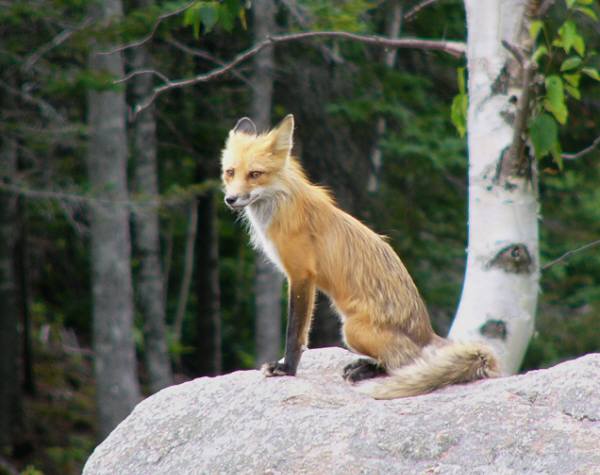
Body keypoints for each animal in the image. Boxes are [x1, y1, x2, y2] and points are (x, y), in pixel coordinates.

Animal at [219, 114, 496, 398]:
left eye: (255, 174)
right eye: (230, 172)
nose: (231, 199)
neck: (280, 203)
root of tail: (426, 333)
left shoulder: (301, 274)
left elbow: (295, 333)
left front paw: (287, 369)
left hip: (351, 330)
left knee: (406, 363)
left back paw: (368, 370)